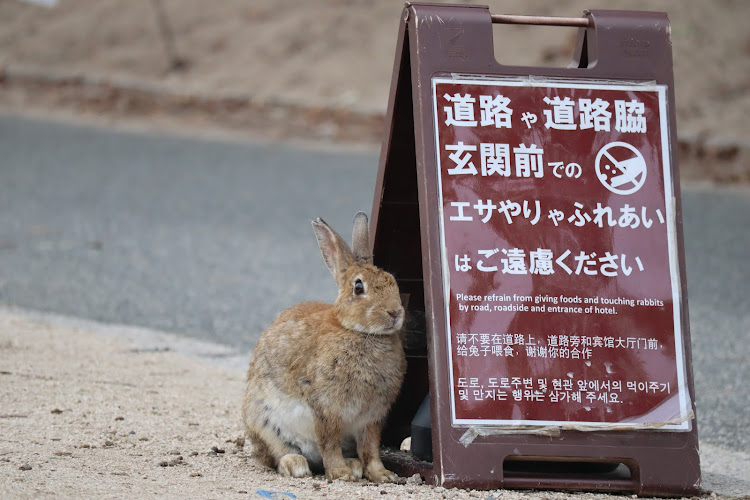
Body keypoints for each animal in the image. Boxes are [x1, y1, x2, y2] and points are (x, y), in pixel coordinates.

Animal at [242, 212, 408, 484]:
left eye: (392, 282)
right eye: (359, 287)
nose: (395, 313)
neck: (358, 332)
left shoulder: (372, 417)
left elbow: (371, 448)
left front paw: (382, 475)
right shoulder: (326, 409)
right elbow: (329, 443)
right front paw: (340, 474)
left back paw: (354, 465)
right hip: (262, 419)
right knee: (276, 452)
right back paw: (296, 464)